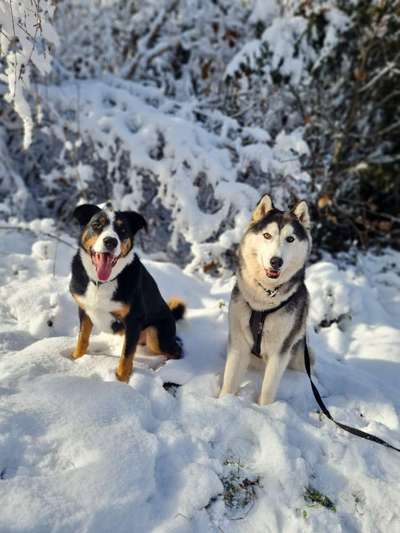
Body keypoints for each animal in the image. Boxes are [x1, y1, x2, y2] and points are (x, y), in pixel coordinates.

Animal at [69, 202, 185, 380]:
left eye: (123, 230)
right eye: (96, 225)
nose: (110, 241)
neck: (101, 283)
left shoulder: (133, 320)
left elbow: (126, 355)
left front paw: (122, 380)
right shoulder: (84, 310)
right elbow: (82, 339)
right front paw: (76, 359)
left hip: (156, 336)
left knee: (176, 351)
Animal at [220, 193, 314, 406]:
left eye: (290, 239)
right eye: (267, 236)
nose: (276, 261)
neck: (263, 300)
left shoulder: (280, 351)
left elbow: (268, 389)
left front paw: (265, 410)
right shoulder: (238, 344)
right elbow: (229, 382)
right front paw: (222, 402)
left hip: (299, 355)